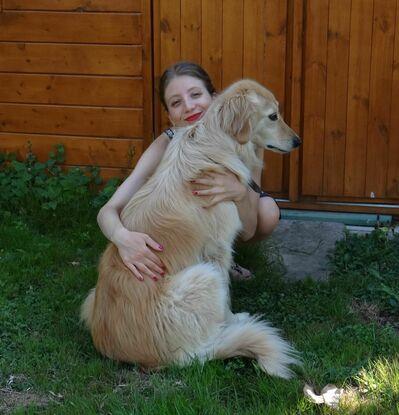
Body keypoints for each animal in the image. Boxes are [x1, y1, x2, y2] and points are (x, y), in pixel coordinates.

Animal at [81, 79, 302, 380]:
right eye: (273, 116)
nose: (298, 141)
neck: (217, 141)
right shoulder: (218, 250)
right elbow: (227, 296)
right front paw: (233, 317)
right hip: (204, 276)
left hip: (91, 298)